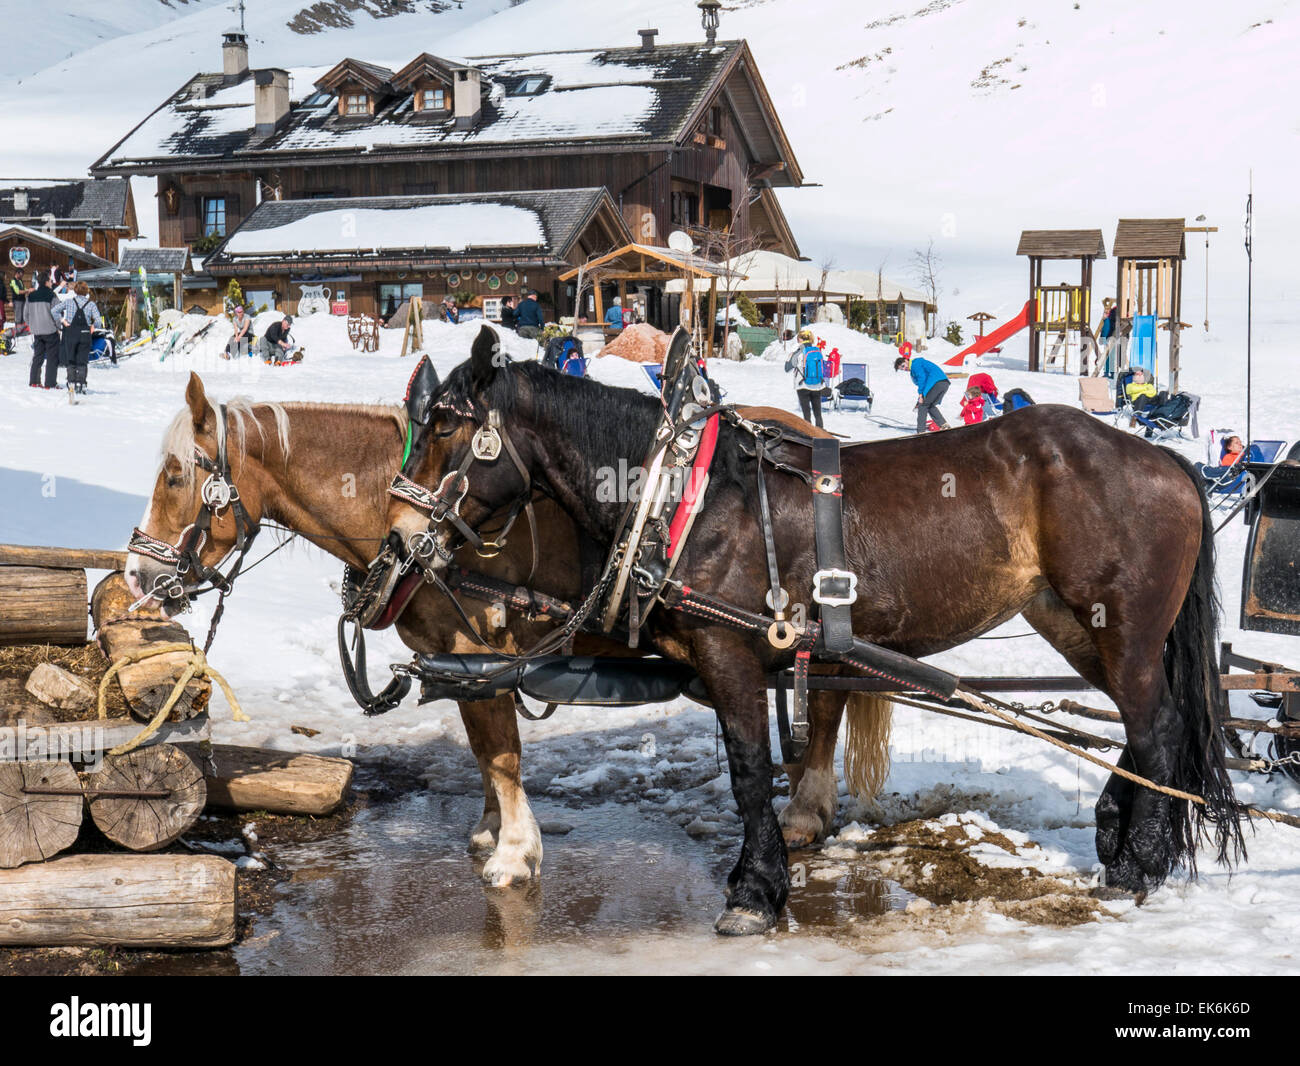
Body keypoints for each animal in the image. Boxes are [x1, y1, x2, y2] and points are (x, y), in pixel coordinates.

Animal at [124, 371, 894, 883]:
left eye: (175, 477)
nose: (136, 575)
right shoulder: (458, 665)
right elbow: (482, 752)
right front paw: (492, 826)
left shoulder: (477, 653)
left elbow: (500, 754)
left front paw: (515, 852)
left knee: (828, 704)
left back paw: (806, 810)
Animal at [387, 325, 1248, 930]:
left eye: (445, 429)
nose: (397, 539)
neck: (686, 494)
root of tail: (1170, 464)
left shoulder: (729, 652)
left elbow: (748, 773)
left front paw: (755, 891)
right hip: (1073, 623)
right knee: (1145, 725)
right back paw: (1117, 836)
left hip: (1122, 626)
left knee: (1157, 726)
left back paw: (1139, 863)